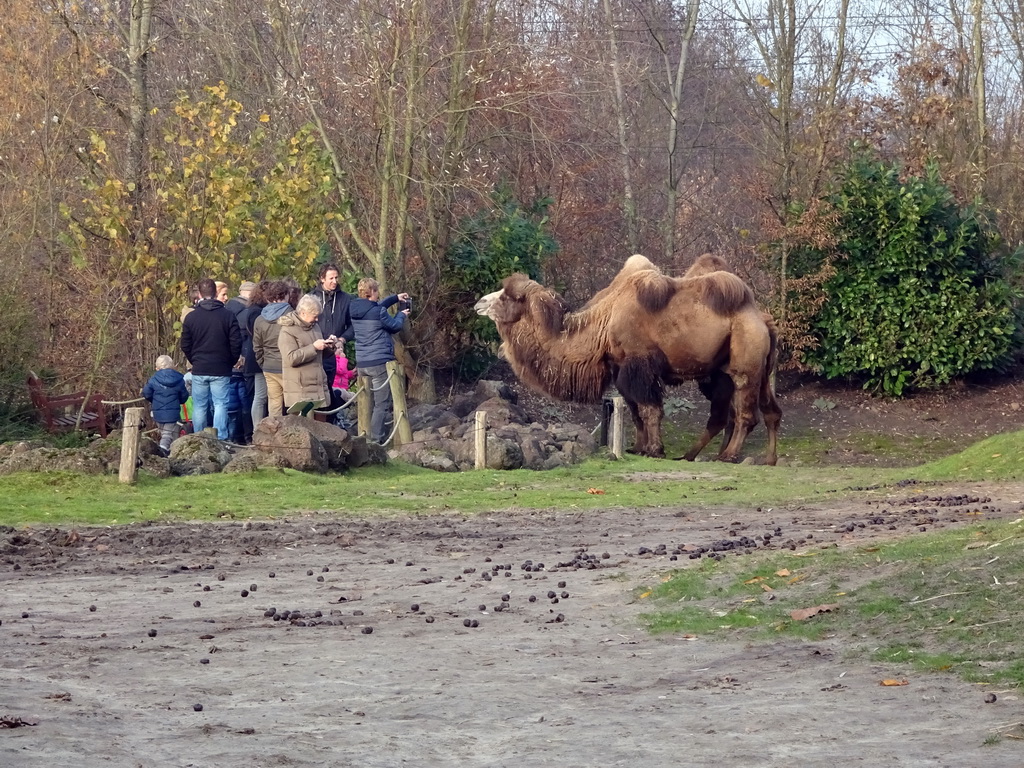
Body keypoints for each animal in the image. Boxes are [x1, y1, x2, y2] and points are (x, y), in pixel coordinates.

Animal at [477, 256, 774, 462]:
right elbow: (634, 411)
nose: (478, 303)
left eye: (507, 297)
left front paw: (655, 450)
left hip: (746, 355)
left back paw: (729, 456)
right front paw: (638, 448)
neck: (603, 323)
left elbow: (650, 409)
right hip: (728, 368)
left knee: (745, 411)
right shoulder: (622, 368)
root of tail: (761, 317)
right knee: (739, 411)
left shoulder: (639, 363)